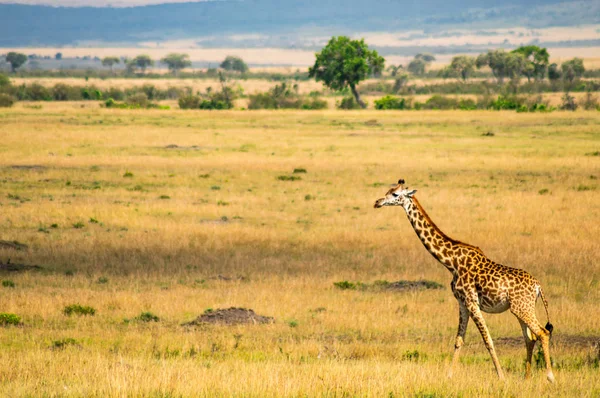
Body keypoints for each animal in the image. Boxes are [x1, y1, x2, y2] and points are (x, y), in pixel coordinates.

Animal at [372, 179, 556, 380]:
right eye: (388, 191)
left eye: (395, 194)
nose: (377, 202)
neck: (451, 262)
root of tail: (538, 286)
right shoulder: (462, 303)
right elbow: (459, 340)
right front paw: (449, 376)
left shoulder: (471, 302)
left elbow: (487, 339)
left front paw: (501, 377)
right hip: (520, 308)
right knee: (530, 338)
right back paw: (526, 377)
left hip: (522, 308)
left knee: (542, 333)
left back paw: (550, 376)